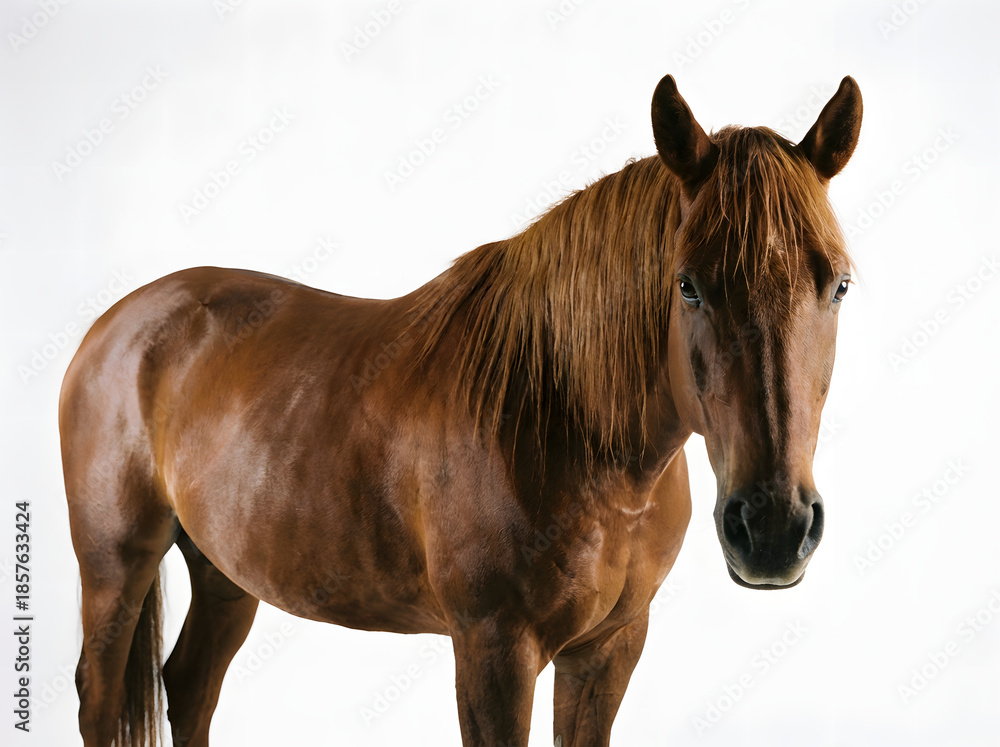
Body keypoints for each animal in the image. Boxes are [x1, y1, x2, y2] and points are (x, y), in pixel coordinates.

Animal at [60, 73, 862, 747]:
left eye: (840, 285)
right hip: (116, 562)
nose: (774, 528)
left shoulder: (609, 648)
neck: (565, 422)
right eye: (688, 284)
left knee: (190, 685)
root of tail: (117, 322)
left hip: (225, 569)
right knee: (100, 696)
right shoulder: (493, 650)